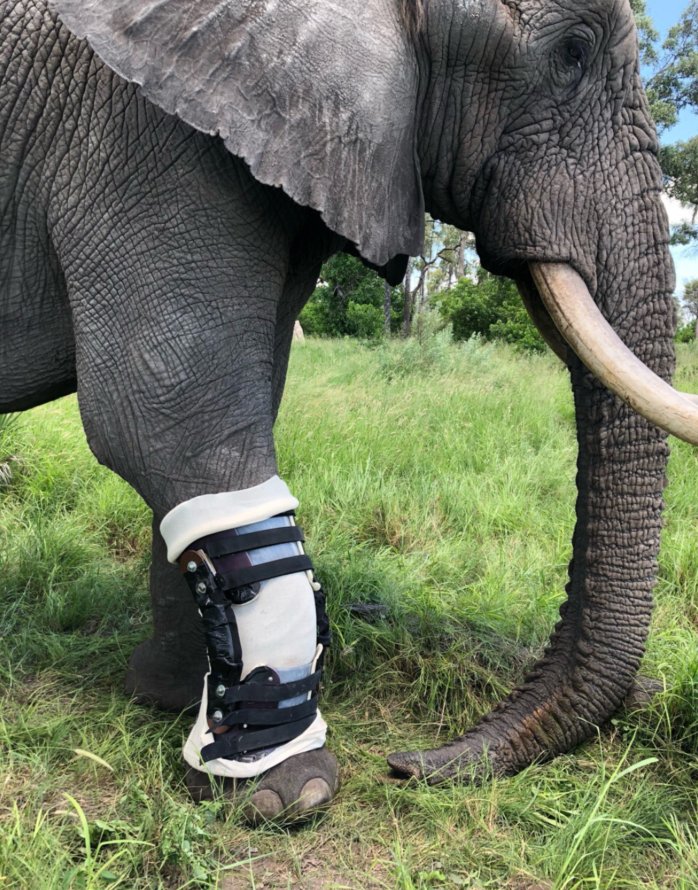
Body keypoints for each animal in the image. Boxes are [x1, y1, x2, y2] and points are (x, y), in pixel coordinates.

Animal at [2, 0, 697, 822]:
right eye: (571, 54)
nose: (407, 764)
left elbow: (229, 416)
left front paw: (173, 703)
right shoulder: (137, 138)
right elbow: (163, 420)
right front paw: (281, 791)